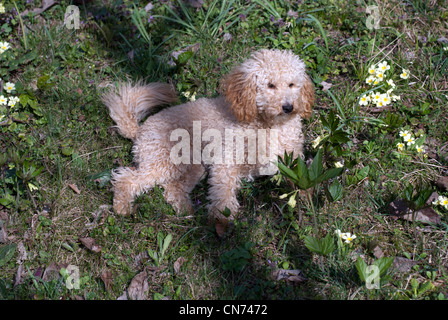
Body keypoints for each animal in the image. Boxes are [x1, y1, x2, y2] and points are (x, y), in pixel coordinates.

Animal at [102, 50, 316, 224]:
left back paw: (186, 210)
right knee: (126, 179)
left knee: (172, 190)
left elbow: (300, 177)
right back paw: (122, 207)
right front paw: (222, 219)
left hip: (193, 166)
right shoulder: (226, 161)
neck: (268, 124)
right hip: (163, 161)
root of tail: (139, 130)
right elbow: (223, 191)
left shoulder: (290, 157)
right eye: (270, 85)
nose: (288, 107)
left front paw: (306, 197)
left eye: (292, 84)